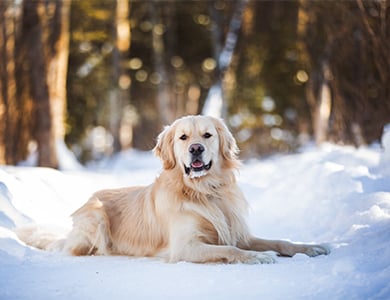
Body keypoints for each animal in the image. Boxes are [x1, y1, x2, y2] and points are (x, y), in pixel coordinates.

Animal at [18, 116, 330, 264]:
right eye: (183, 137)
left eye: (207, 135)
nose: (196, 148)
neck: (206, 191)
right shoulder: (186, 246)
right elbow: (229, 249)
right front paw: (257, 257)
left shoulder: (240, 233)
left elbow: (281, 241)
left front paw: (309, 247)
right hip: (95, 217)